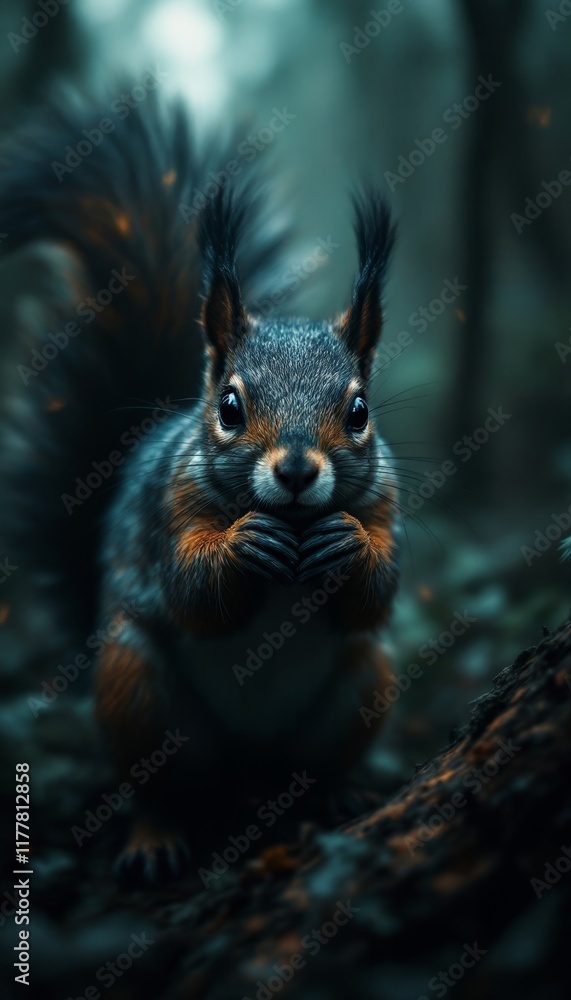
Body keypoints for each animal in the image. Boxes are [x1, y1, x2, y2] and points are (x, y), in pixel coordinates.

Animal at [0, 92, 400, 885]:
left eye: (359, 411)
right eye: (230, 407)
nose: (297, 472)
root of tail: (247, 767)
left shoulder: (387, 501)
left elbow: (379, 587)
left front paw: (347, 546)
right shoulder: (168, 507)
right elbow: (193, 591)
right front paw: (244, 545)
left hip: (362, 686)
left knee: (309, 766)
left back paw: (335, 795)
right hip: (138, 696)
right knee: (165, 789)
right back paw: (156, 835)